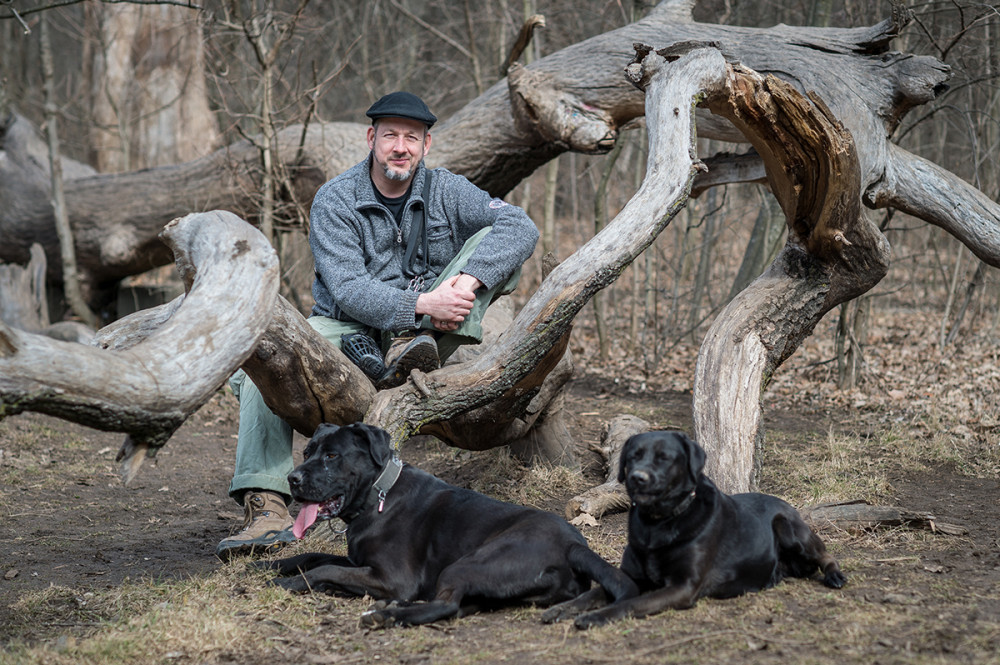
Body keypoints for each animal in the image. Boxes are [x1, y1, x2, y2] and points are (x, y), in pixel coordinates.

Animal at [256, 422, 632, 624]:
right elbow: (313, 557)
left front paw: (286, 583)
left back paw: (386, 615)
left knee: (447, 604)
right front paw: (268, 564)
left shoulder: (394, 578)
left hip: (470, 562)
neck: (378, 495)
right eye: (308, 453)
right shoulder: (360, 562)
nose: (292, 479)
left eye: (333, 455)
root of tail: (574, 545)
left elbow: (323, 568)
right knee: (459, 606)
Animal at [544, 430, 848, 628]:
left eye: (664, 457)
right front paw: (563, 608)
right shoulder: (631, 576)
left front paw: (595, 617)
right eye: (633, 456)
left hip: (789, 528)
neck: (658, 523)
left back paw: (835, 576)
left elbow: (630, 603)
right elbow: (593, 592)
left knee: (826, 555)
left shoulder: (683, 586)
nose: (637, 478)